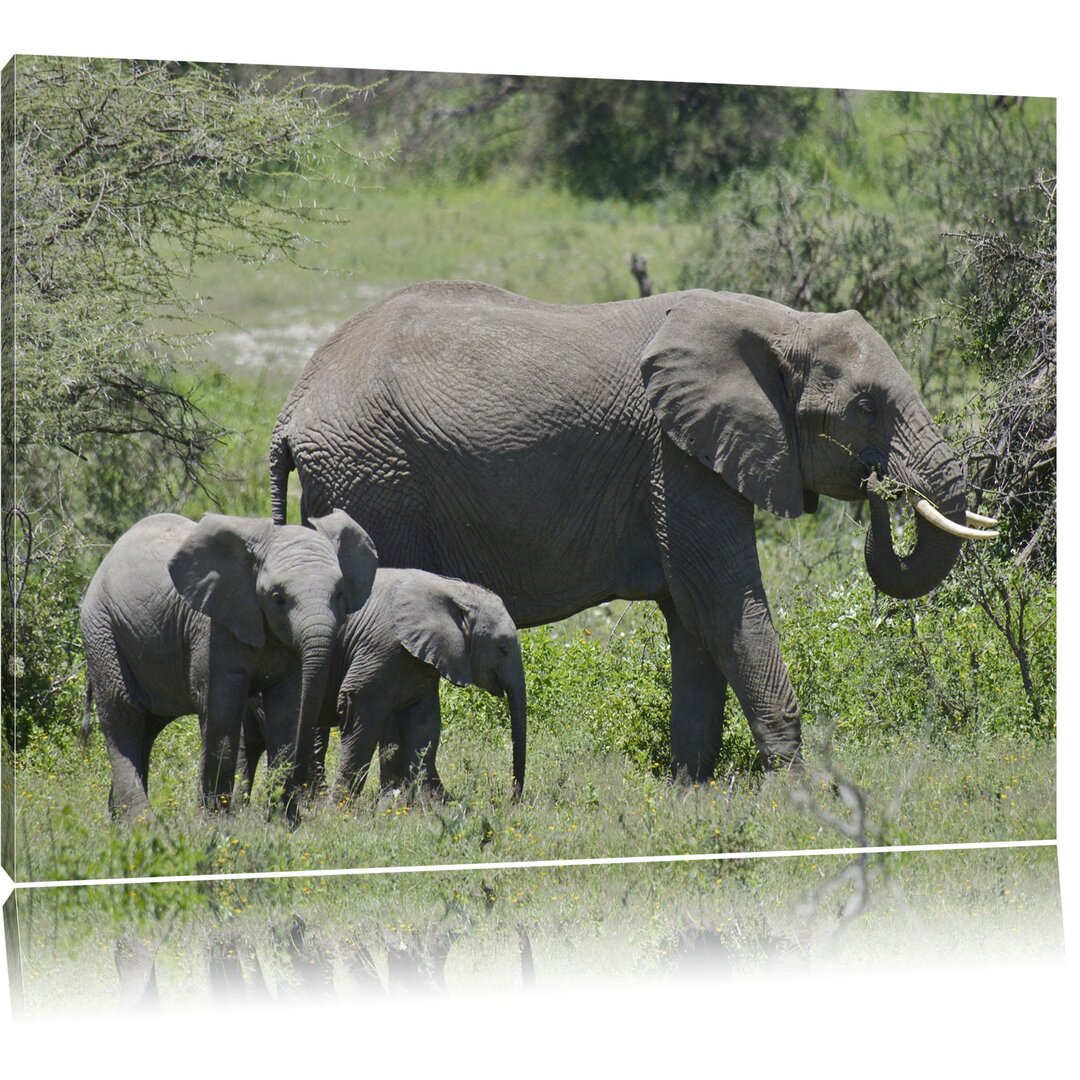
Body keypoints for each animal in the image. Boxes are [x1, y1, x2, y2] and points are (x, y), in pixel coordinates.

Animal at [79, 509, 378, 820]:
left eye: (340, 595)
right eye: (278, 599)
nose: (302, 798)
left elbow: (289, 708)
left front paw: (283, 820)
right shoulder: (212, 627)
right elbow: (222, 707)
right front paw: (216, 820)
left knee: (147, 727)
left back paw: (118, 820)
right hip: (103, 631)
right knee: (124, 717)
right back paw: (142, 822)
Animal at [239, 565, 527, 803]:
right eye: (502, 649)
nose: (512, 799)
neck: (451, 589)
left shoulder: (420, 663)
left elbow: (424, 725)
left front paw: (437, 805)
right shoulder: (380, 648)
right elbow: (361, 719)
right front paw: (340, 809)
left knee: (252, 738)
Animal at [267, 282, 993, 781]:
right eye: (866, 407)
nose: (880, 488)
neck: (778, 322)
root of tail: (292, 402)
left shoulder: (685, 457)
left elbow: (695, 619)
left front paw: (690, 796)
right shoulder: (676, 455)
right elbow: (723, 600)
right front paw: (800, 801)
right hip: (374, 479)